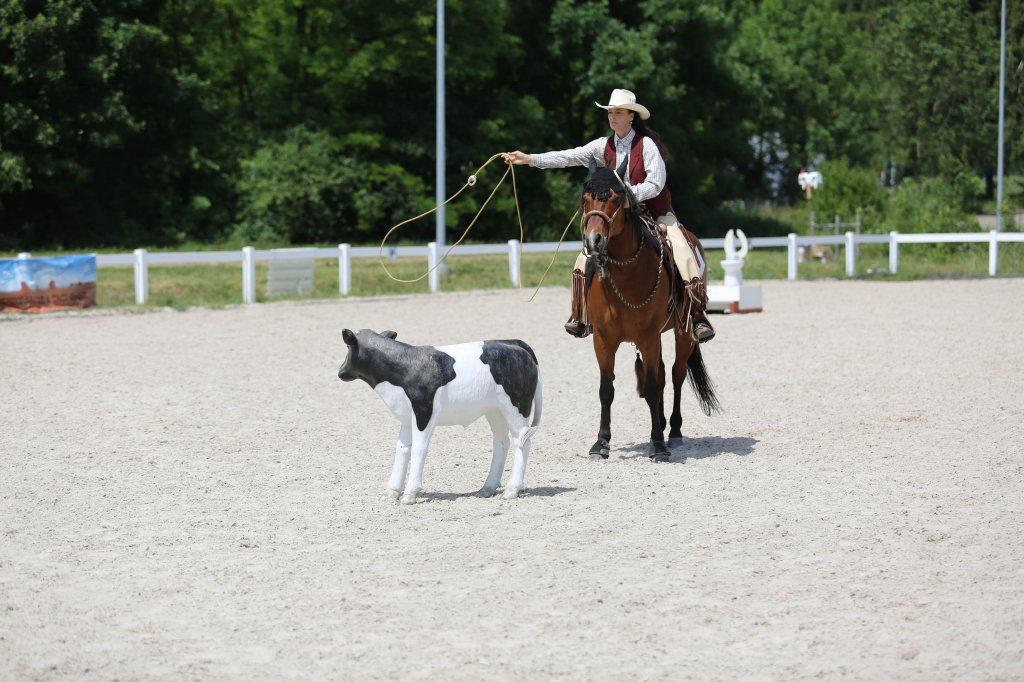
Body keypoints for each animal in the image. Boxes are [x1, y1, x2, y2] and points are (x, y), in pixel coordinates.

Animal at [579, 158, 719, 462]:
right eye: (585, 198)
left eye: (617, 197)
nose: (594, 240)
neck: (625, 275)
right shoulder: (603, 340)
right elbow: (606, 389)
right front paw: (601, 443)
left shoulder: (648, 337)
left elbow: (653, 387)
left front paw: (657, 444)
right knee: (664, 374)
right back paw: (663, 424)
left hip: (682, 333)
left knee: (676, 375)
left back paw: (673, 431)